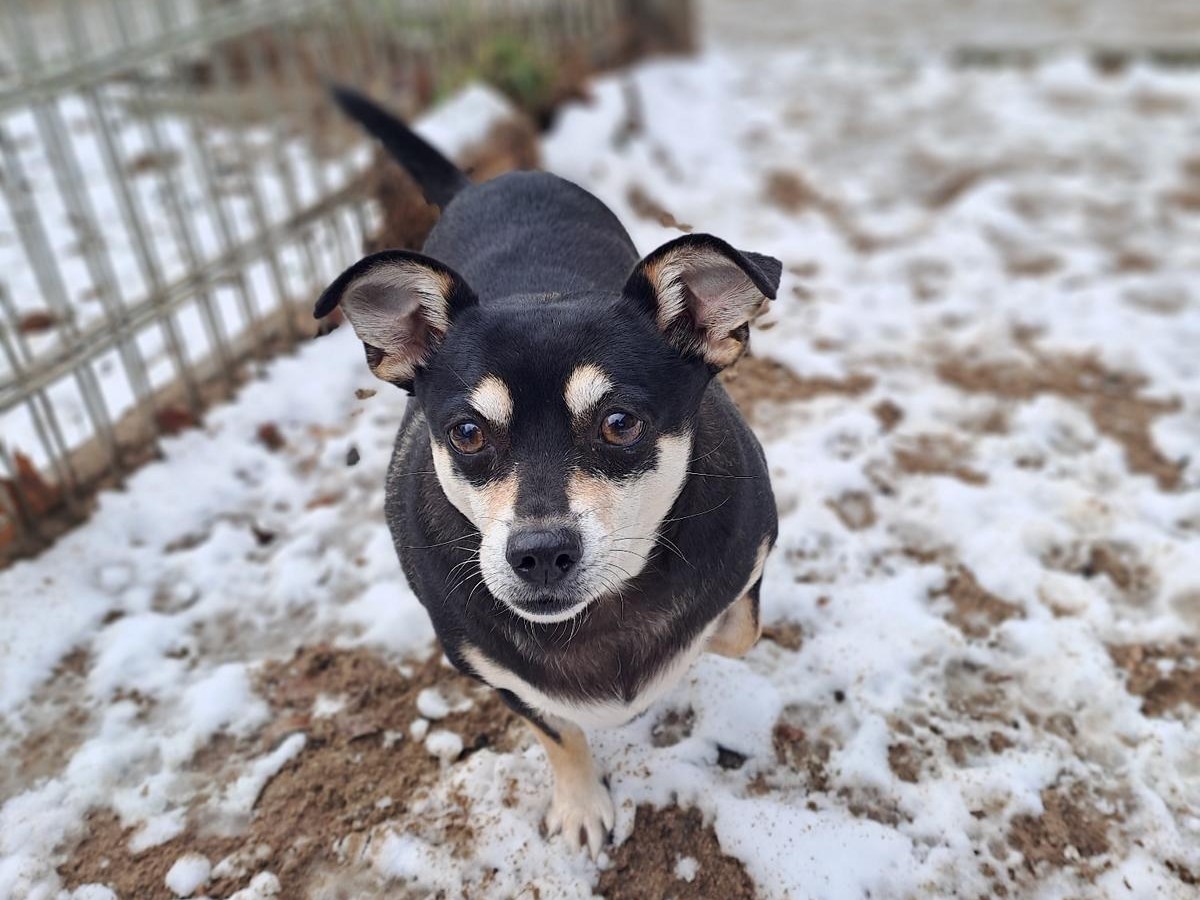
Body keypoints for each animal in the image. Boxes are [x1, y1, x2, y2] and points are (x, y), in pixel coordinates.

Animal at [316, 87, 780, 858]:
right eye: (468, 433)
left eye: (620, 423)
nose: (538, 554)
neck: (607, 611)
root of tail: (482, 181)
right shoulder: (486, 665)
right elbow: (557, 730)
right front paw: (581, 805)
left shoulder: (752, 553)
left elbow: (733, 630)